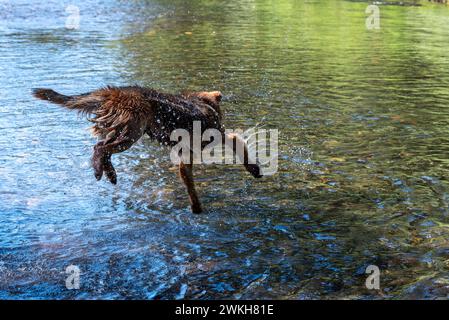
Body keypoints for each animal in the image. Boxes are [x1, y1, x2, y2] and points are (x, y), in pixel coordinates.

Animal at [32, 86, 260, 214]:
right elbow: (237, 142)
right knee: (101, 149)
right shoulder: (217, 136)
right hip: (131, 132)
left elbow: (190, 186)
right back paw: (101, 170)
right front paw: (254, 168)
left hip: (121, 130)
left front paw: (196, 209)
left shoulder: (185, 160)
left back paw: (109, 174)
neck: (202, 103)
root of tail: (114, 92)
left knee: (101, 148)